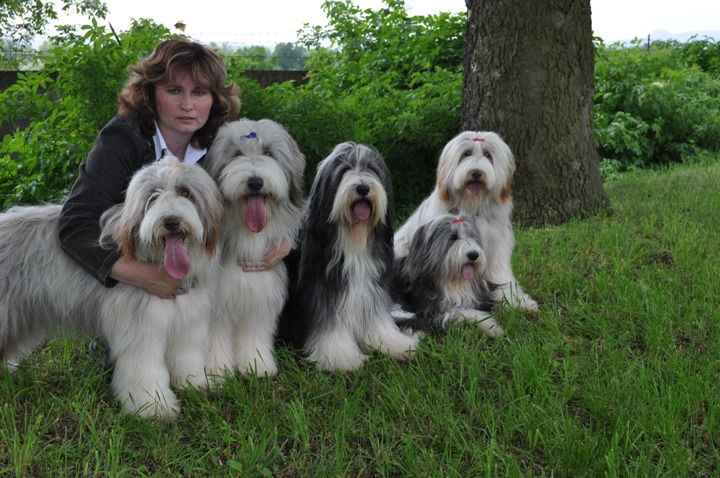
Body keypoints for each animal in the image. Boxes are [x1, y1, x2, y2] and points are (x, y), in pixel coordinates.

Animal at [0, 157, 223, 419]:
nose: (171, 222)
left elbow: (187, 355)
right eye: (153, 197)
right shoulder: (140, 328)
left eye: (185, 192)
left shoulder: (187, 321)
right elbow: (145, 367)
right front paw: (154, 406)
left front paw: (195, 384)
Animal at [202, 118, 305, 379]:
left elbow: (254, 335)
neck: (248, 235)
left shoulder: (261, 296)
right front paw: (216, 371)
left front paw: (256, 365)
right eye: (237, 154)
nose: (255, 182)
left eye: (268, 153)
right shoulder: (217, 302)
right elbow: (216, 337)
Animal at [277, 142, 419, 371]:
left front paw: (394, 344)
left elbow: (377, 318)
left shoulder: (372, 286)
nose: (363, 188)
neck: (354, 239)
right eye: (344, 169)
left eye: (371, 168)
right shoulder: (323, 290)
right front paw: (340, 356)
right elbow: (331, 325)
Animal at [394, 131, 538, 312]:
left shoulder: (494, 251)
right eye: (466, 154)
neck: (471, 206)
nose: (476, 172)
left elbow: (500, 277)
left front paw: (516, 299)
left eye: (488, 155)